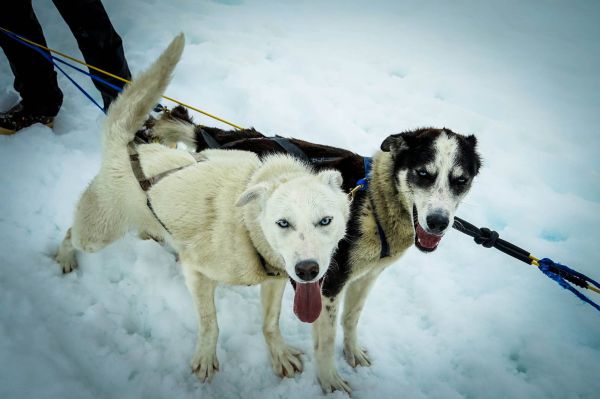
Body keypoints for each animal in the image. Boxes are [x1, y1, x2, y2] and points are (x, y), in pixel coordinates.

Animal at [55, 36, 352, 382]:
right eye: (283, 223)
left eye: (325, 220)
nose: (307, 270)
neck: (248, 228)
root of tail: (128, 148)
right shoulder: (197, 272)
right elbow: (211, 323)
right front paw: (206, 358)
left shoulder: (276, 280)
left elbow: (270, 322)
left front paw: (278, 354)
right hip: (96, 234)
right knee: (71, 232)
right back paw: (65, 256)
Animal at [151, 109, 482, 394]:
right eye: (423, 174)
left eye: (461, 180)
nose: (438, 222)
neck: (374, 202)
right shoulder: (331, 284)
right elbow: (326, 338)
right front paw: (330, 381)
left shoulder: (367, 276)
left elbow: (352, 318)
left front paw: (353, 352)